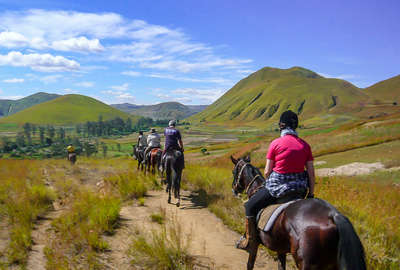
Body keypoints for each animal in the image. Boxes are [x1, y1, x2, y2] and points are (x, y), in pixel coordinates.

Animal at [230, 156, 368, 270]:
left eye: (233, 172)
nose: (234, 189)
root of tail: (333, 215)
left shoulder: (254, 244)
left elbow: (250, 264)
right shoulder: (280, 249)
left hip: (307, 264)